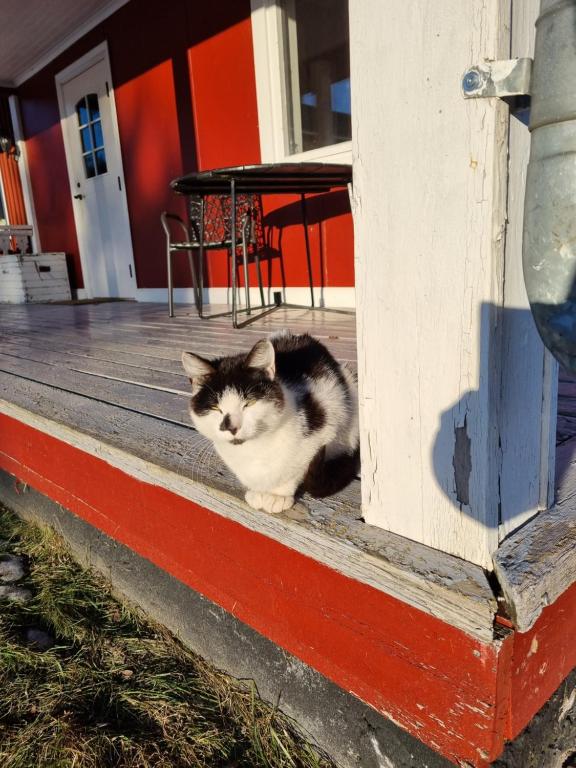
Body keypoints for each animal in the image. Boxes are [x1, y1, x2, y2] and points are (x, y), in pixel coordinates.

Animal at [182, 332, 358, 516]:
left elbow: (295, 469)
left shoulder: (320, 431)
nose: (231, 427)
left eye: (249, 403)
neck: (254, 447)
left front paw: (278, 495)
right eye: (216, 408)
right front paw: (258, 491)